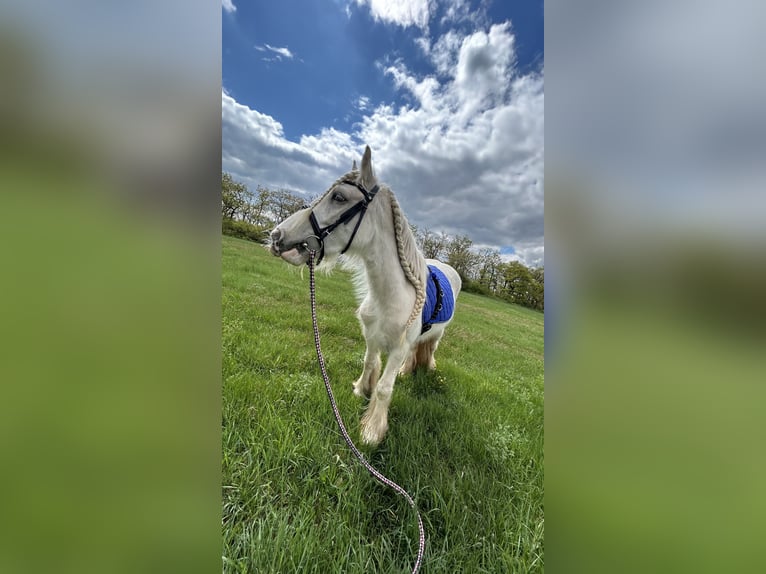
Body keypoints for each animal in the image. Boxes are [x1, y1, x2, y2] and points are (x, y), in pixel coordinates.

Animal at [270, 147, 462, 446]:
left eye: (339, 197)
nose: (277, 236)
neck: (390, 297)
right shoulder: (371, 337)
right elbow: (369, 363)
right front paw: (361, 390)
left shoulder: (397, 349)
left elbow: (384, 388)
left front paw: (372, 431)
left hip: (438, 334)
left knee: (429, 347)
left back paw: (427, 368)